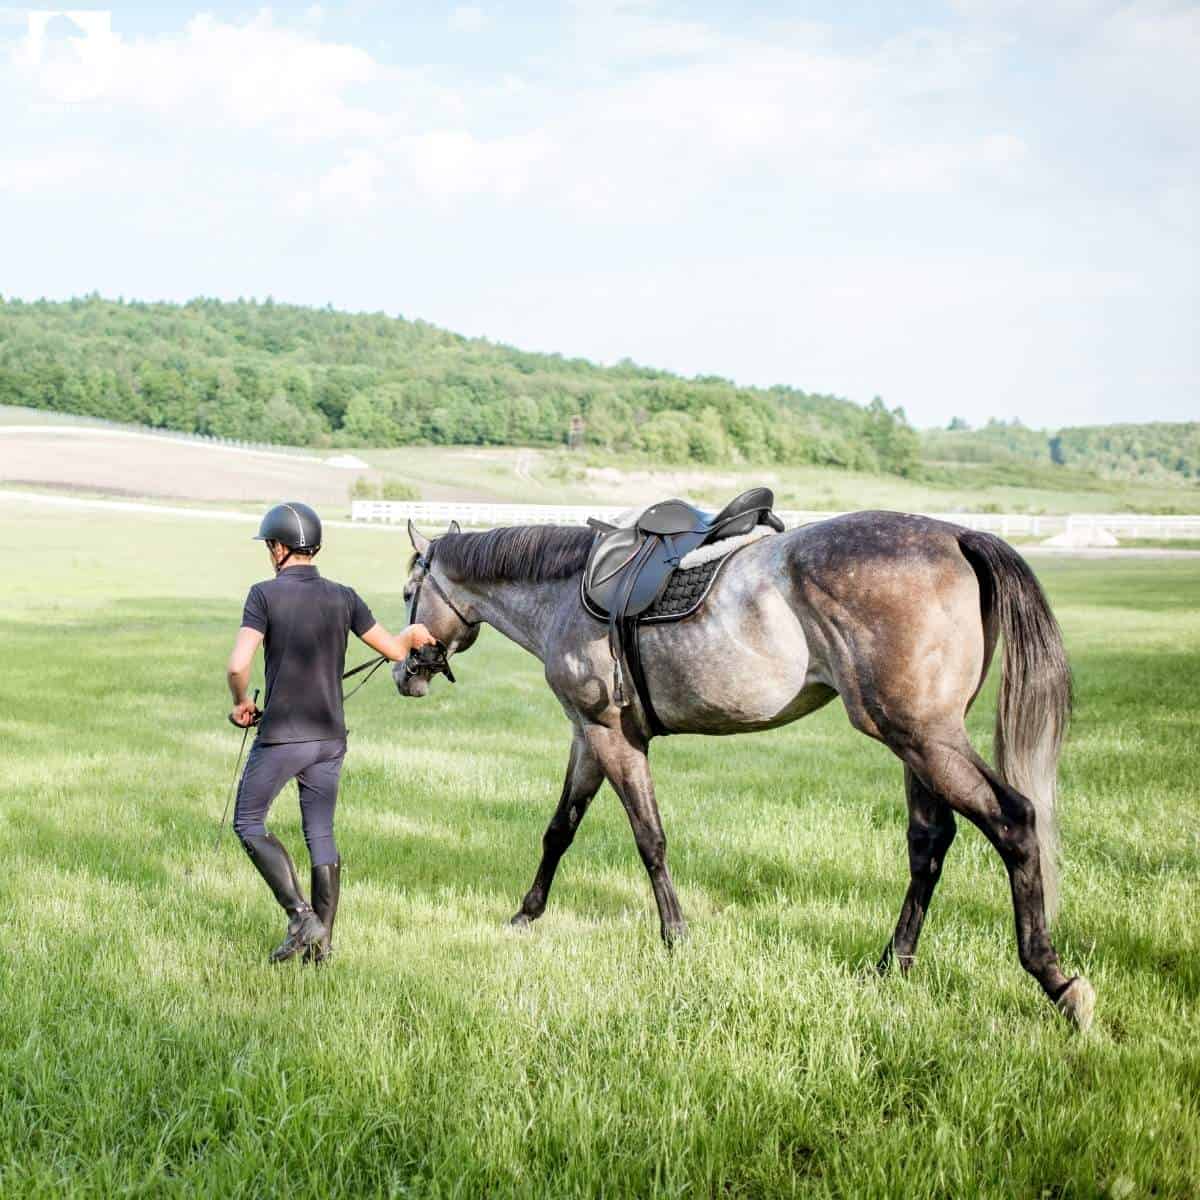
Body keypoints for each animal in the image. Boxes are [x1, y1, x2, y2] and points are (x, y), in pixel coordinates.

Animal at [396, 510, 1095, 1029]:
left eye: (408, 594)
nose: (407, 673)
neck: (567, 592)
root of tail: (958, 535)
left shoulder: (612, 739)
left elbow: (649, 839)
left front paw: (675, 936)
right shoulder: (588, 737)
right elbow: (559, 830)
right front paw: (526, 915)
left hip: (923, 738)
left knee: (1015, 822)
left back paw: (1055, 980)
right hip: (918, 741)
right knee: (929, 843)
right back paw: (892, 964)